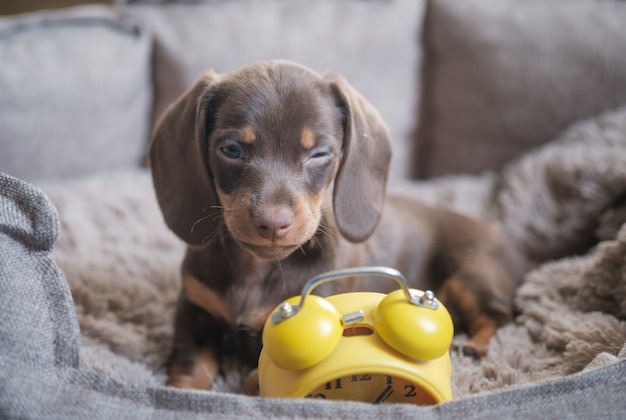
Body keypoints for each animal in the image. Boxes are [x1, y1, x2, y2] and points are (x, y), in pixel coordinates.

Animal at [149, 60, 524, 394]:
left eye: (319, 153)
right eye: (231, 150)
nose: (272, 222)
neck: (258, 269)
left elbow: (258, 378)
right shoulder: (194, 306)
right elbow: (192, 363)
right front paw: (184, 391)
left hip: (472, 273)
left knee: (499, 316)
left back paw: (474, 345)